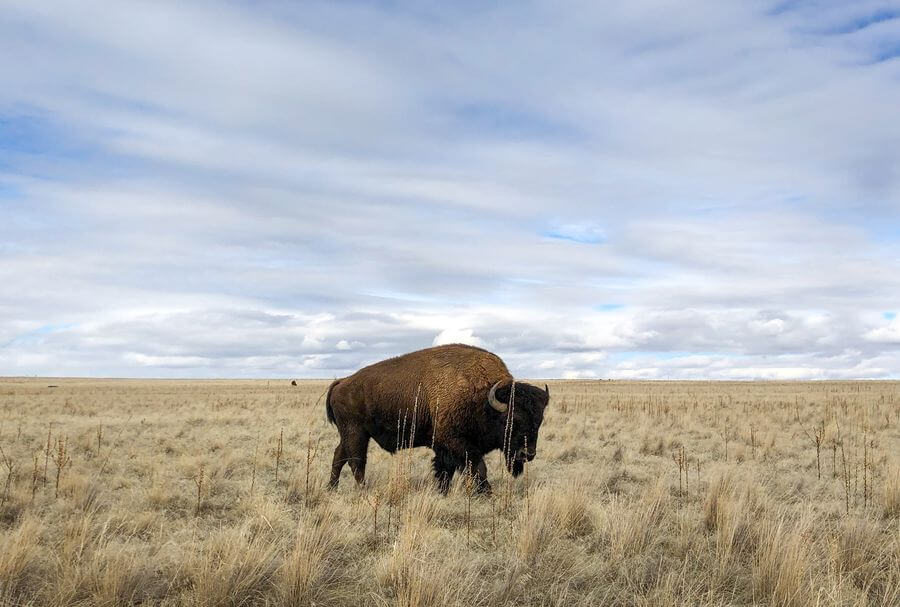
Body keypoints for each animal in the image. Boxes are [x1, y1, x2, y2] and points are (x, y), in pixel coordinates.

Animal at [324, 342, 548, 494]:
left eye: (539, 421)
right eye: (513, 420)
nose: (527, 454)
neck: (482, 398)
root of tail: (342, 382)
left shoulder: (444, 447)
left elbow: (445, 471)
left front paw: (443, 492)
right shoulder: (457, 443)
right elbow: (478, 468)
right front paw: (486, 494)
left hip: (351, 434)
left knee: (339, 456)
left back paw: (331, 488)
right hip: (356, 432)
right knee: (356, 461)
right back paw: (363, 489)